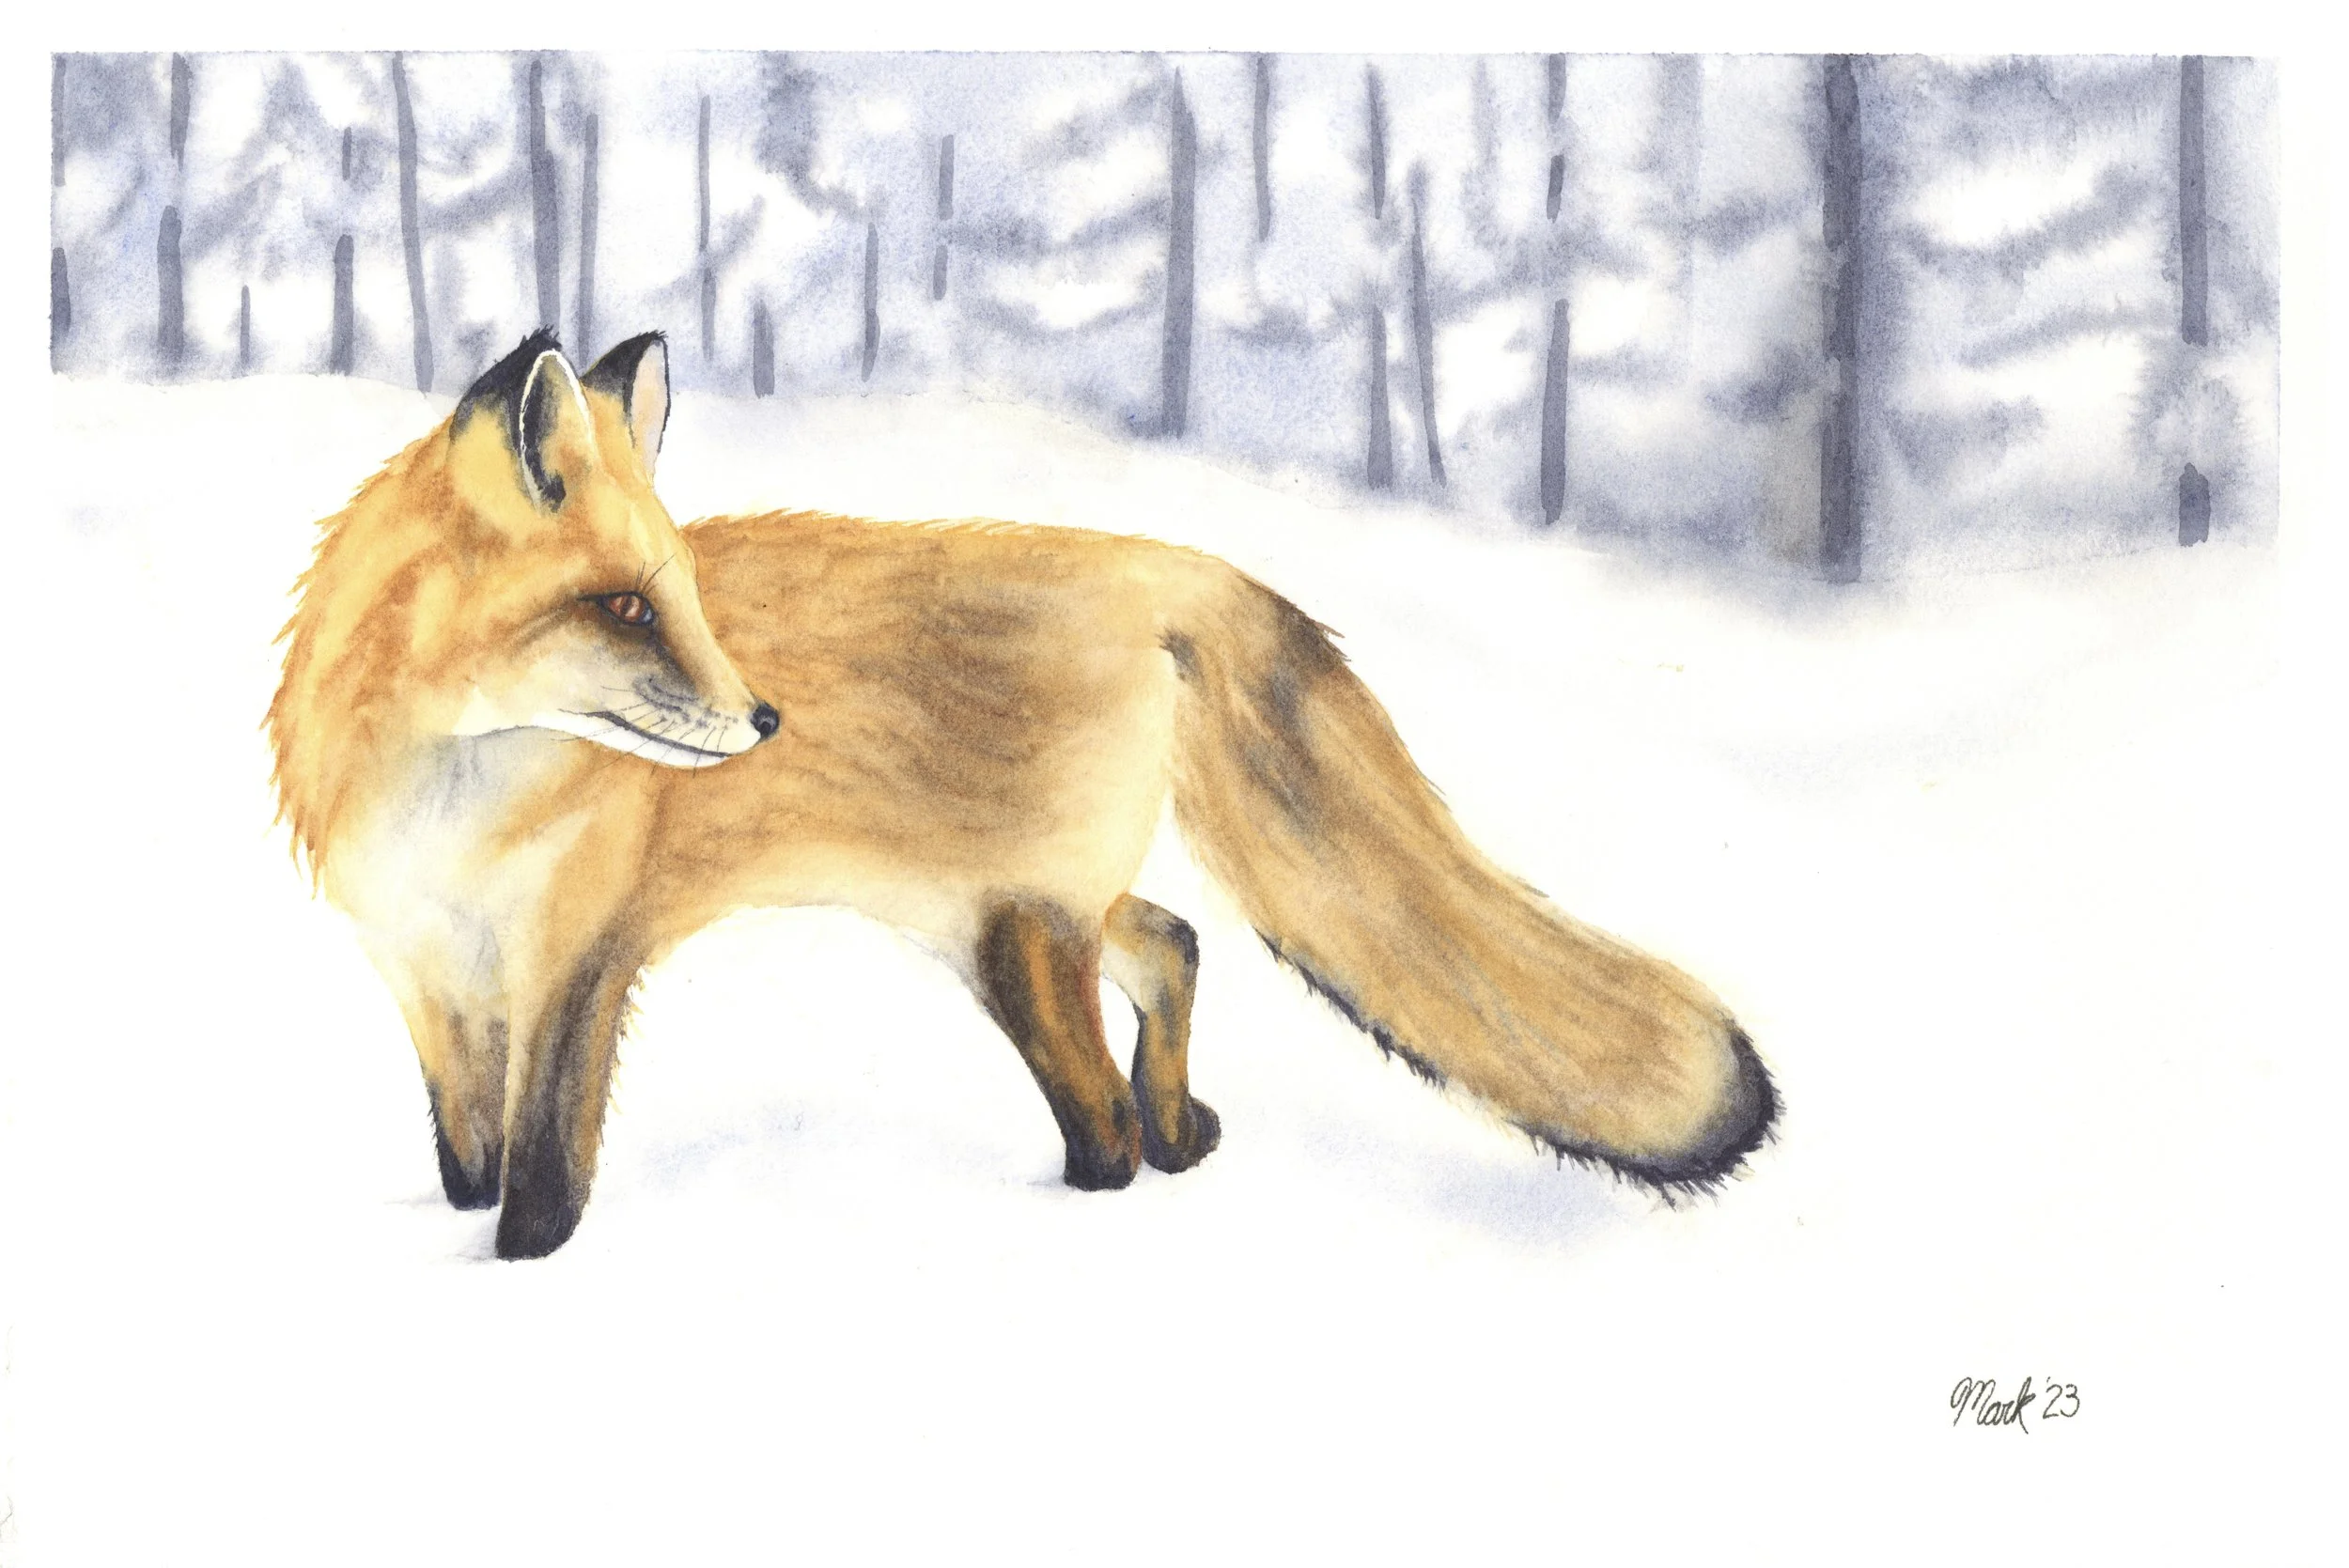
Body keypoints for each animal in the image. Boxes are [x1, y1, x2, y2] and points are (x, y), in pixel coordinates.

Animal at [269, 329, 1777, 1260]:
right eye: (627, 607)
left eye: (683, 595)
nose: (764, 719)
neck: (451, 808)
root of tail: (1162, 563)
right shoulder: (427, 974)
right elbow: (464, 1154)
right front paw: (449, 1233)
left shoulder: (577, 959)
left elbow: (539, 1171)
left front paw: (519, 1269)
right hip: (1024, 911)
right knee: (1174, 940)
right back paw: (1185, 1132)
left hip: (1008, 931)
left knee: (1104, 1112)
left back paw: (1106, 1179)